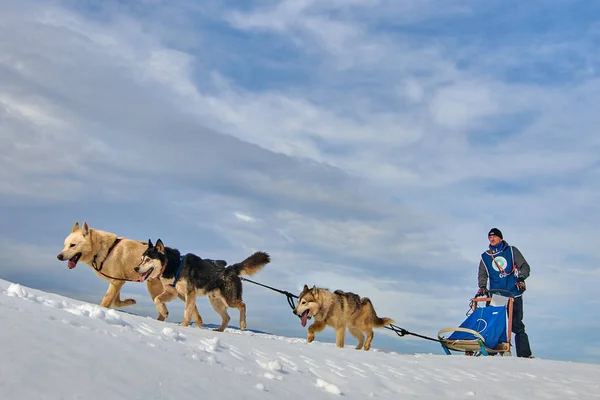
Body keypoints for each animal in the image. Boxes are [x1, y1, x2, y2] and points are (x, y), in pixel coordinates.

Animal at [135, 241, 270, 332]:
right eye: (141, 259)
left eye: (148, 260)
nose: (135, 268)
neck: (174, 265)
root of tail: (231, 269)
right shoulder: (175, 293)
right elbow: (157, 299)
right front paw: (164, 311)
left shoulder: (189, 294)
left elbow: (187, 311)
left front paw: (183, 325)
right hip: (216, 303)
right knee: (227, 317)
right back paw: (219, 330)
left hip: (229, 299)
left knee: (243, 305)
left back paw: (242, 324)